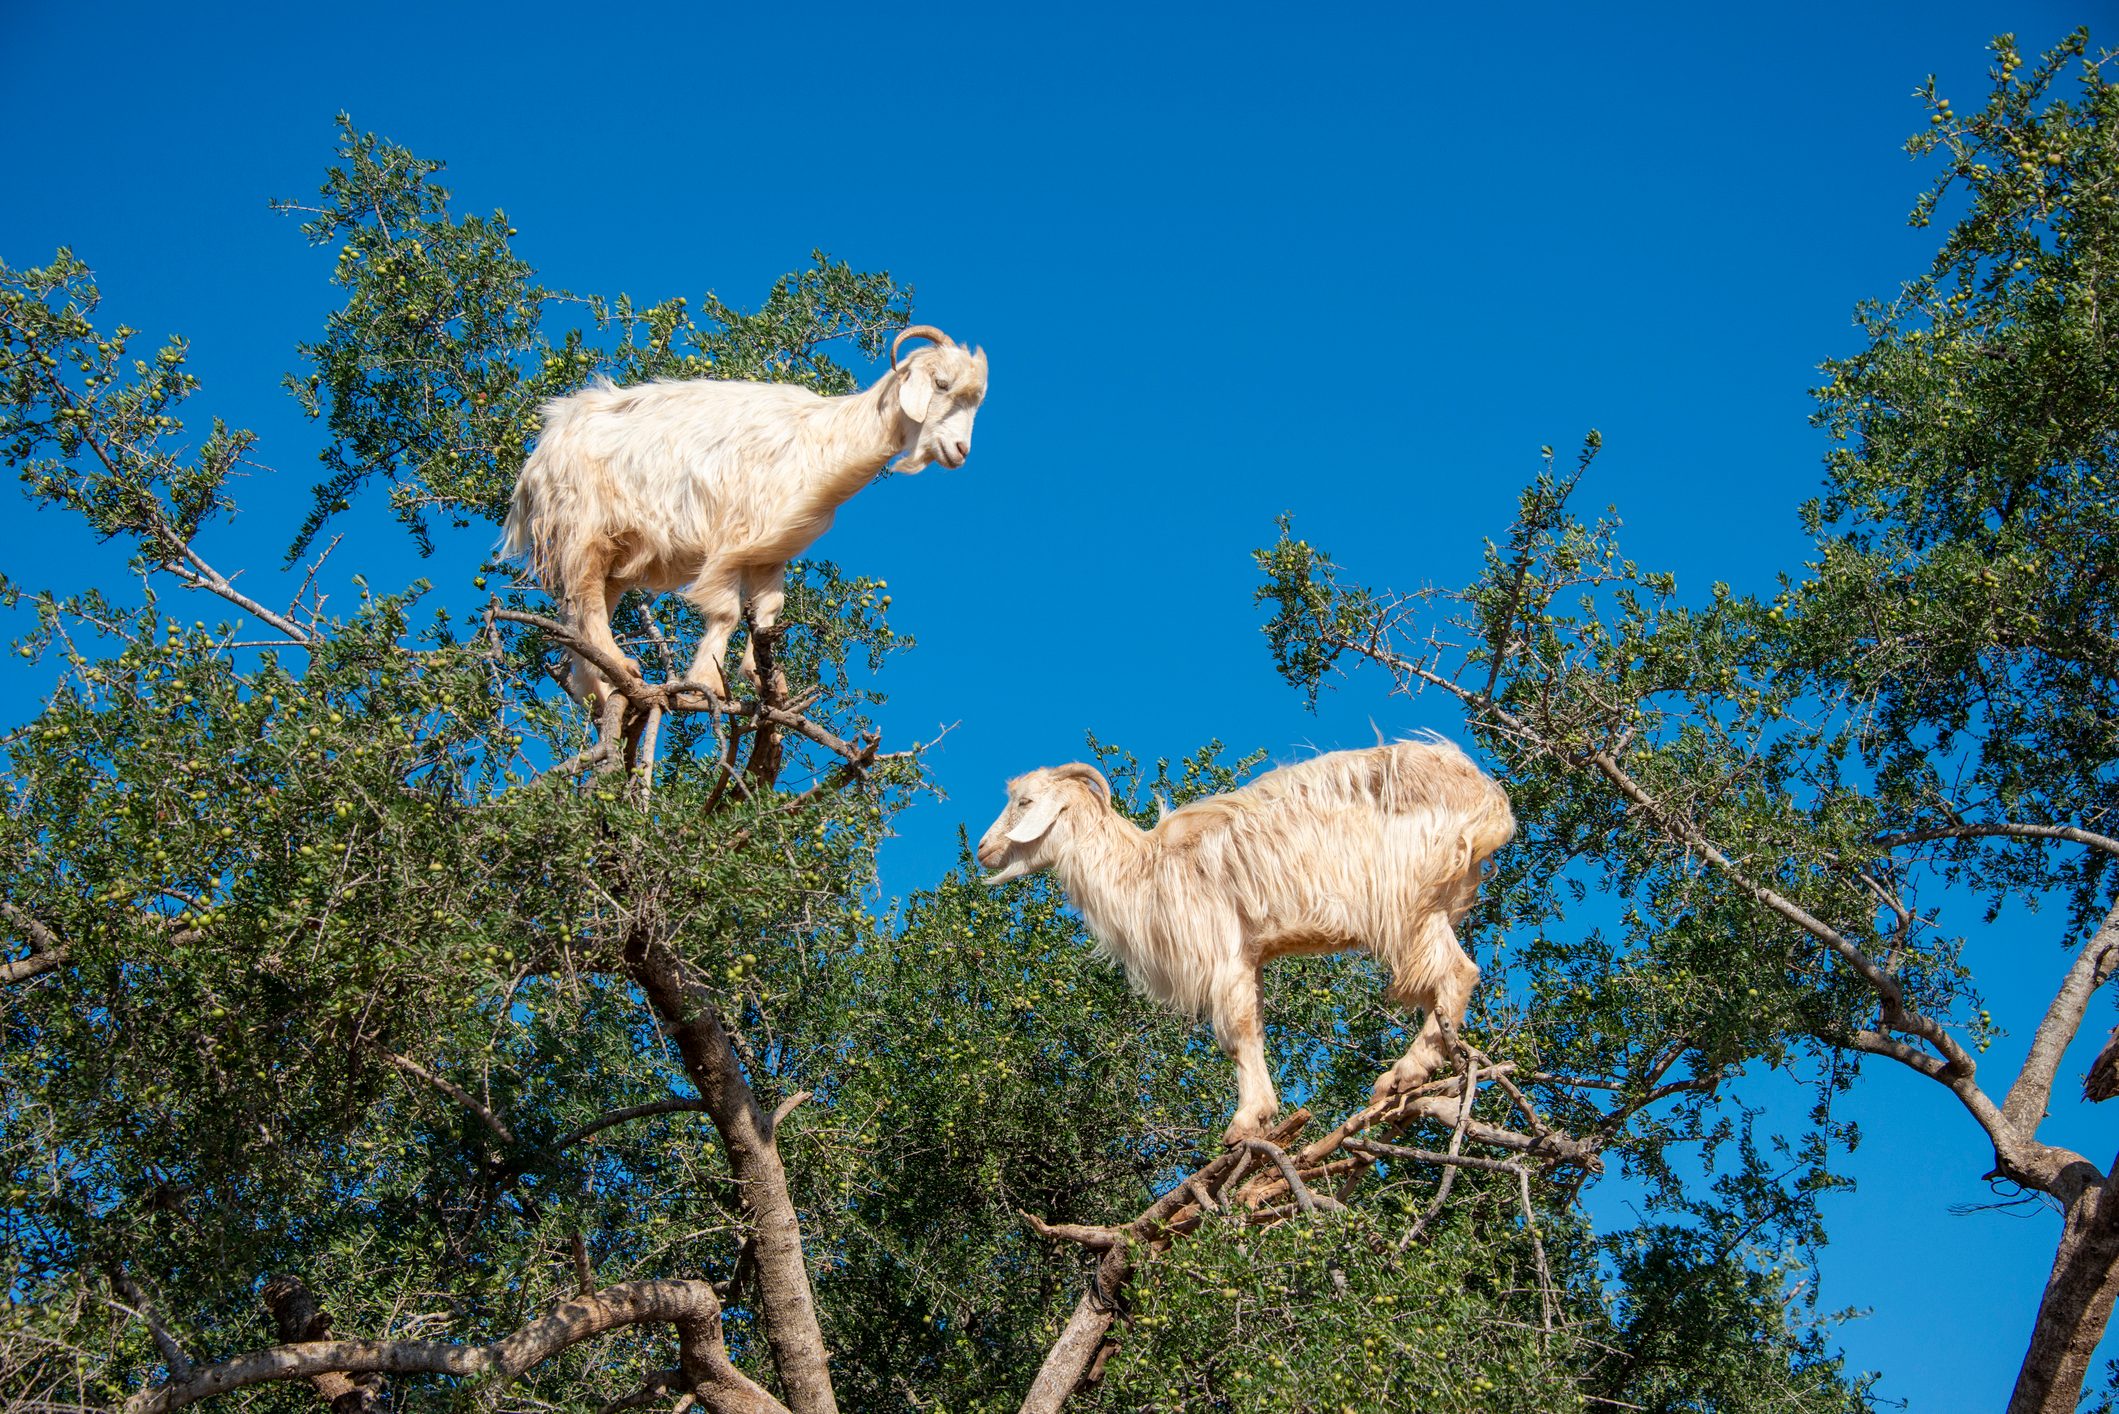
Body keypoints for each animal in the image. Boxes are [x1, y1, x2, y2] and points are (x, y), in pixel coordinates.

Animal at [502, 325, 988, 707]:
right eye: (941, 384)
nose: (960, 450)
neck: (823, 439)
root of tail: (542, 450)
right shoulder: (731, 540)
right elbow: (727, 613)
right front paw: (707, 683)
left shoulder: (770, 551)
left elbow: (769, 611)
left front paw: (771, 682)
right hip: (585, 528)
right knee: (583, 597)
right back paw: (623, 668)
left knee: (583, 611)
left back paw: (600, 690)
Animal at [976, 740, 1514, 1143]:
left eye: (1025, 802)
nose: (982, 849)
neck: (1148, 868)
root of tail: (1488, 799)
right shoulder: (1251, 955)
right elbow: (1253, 1025)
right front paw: (1261, 1115)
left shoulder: (1224, 951)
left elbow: (1236, 1034)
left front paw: (1244, 1122)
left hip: (1406, 904)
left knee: (1456, 971)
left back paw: (1403, 1074)